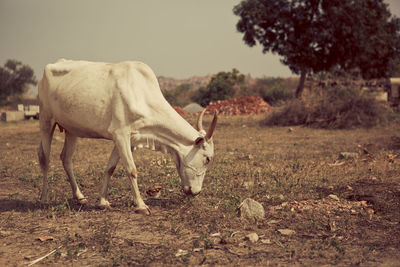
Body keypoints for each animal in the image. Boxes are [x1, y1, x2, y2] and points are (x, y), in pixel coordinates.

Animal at [38, 59, 217, 216]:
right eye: (207, 159)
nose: (196, 191)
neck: (141, 95)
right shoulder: (120, 133)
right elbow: (131, 170)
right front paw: (141, 205)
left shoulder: (129, 139)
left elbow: (110, 168)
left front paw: (102, 202)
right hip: (46, 121)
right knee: (45, 159)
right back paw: (44, 198)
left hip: (72, 130)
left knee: (66, 158)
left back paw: (79, 196)